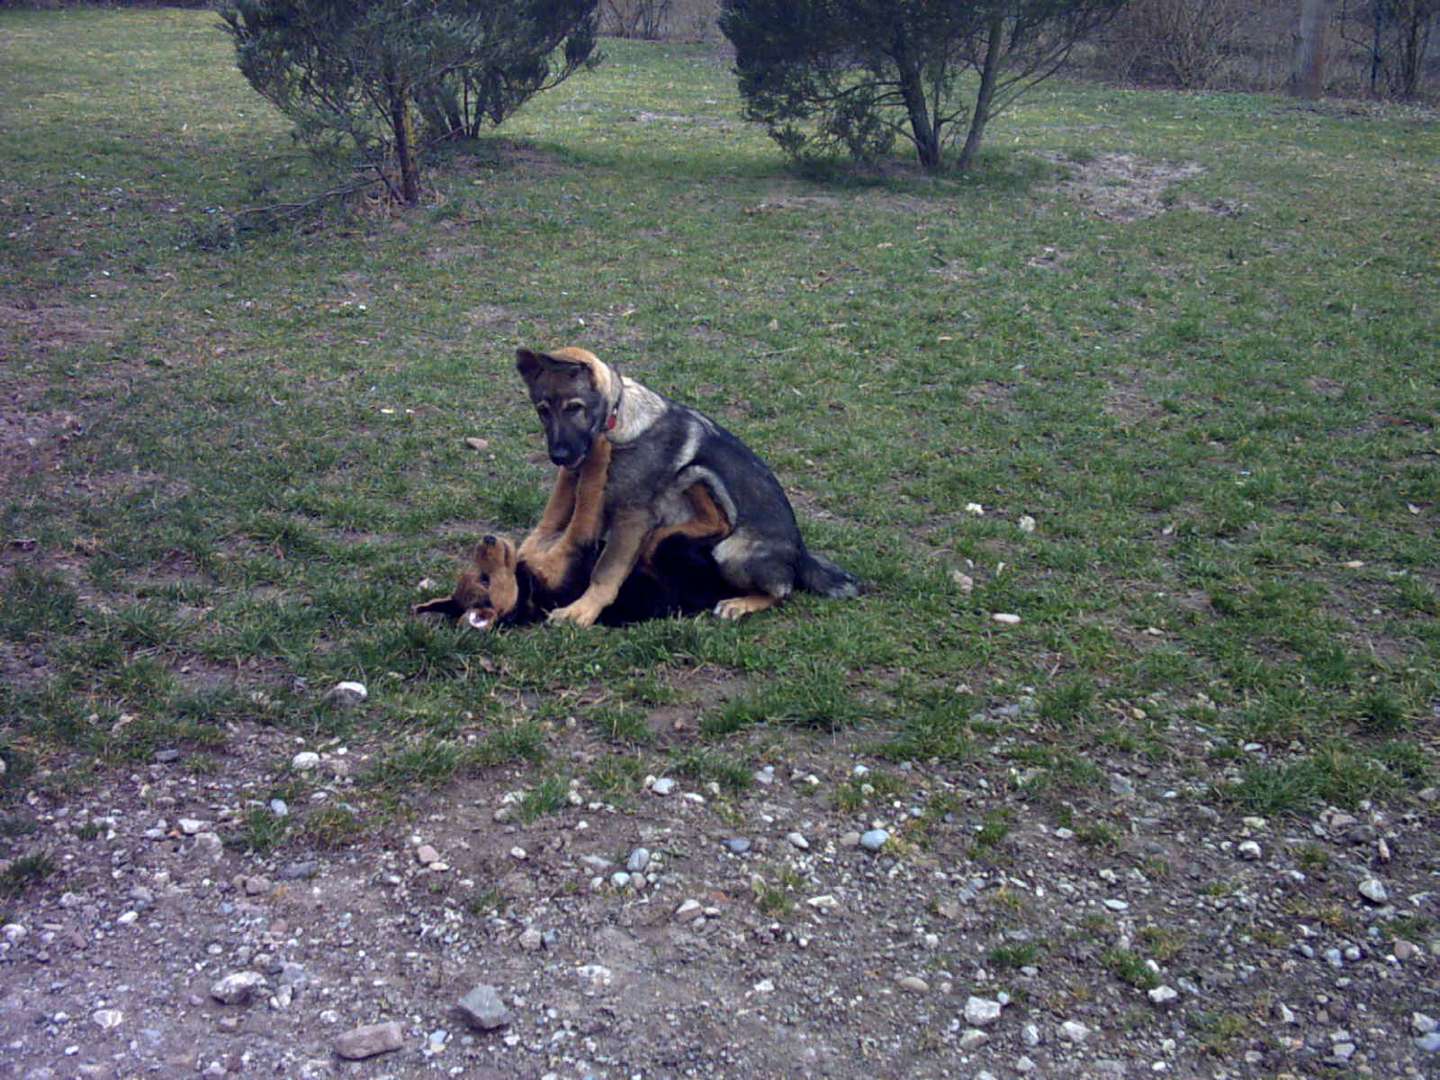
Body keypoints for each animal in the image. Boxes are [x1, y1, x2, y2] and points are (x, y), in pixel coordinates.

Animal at [518, 347, 852, 624]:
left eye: (574, 407)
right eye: (542, 410)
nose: (559, 457)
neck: (619, 419)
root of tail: (801, 553)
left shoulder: (631, 516)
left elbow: (606, 568)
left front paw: (582, 609)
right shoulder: (603, 509)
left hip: (730, 552)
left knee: (783, 590)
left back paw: (739, 603)